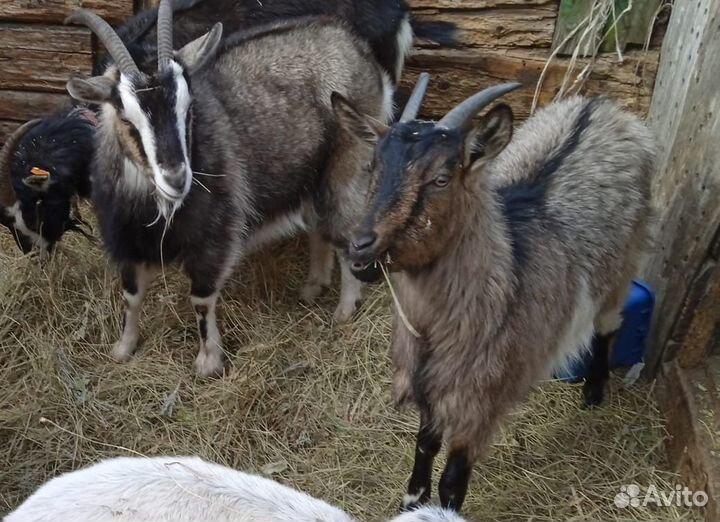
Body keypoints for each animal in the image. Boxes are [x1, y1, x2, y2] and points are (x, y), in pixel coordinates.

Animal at [63, 3, 392, 376]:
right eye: (127, 119)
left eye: (189, 110)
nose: (176, 178)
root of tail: (351, 41)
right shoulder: (127, 240)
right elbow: (131, 295)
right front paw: (123, 348)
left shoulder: (214, 237)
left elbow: (201, 298)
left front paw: (209, 361)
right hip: (312, 174)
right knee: (320, 227)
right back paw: (313, 286)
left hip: (347, 166)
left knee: (346, 230)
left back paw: (345, 310)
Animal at [337, 77, 655, 511]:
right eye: (373, 167)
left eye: (441, 178)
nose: (360, 248)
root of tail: (602, 105)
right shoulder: (432, 385)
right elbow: (424, 445)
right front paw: (411, 503)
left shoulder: (479, 400)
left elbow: (453, 480)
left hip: (623, 265)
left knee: (609, 324)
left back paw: (594, 391)